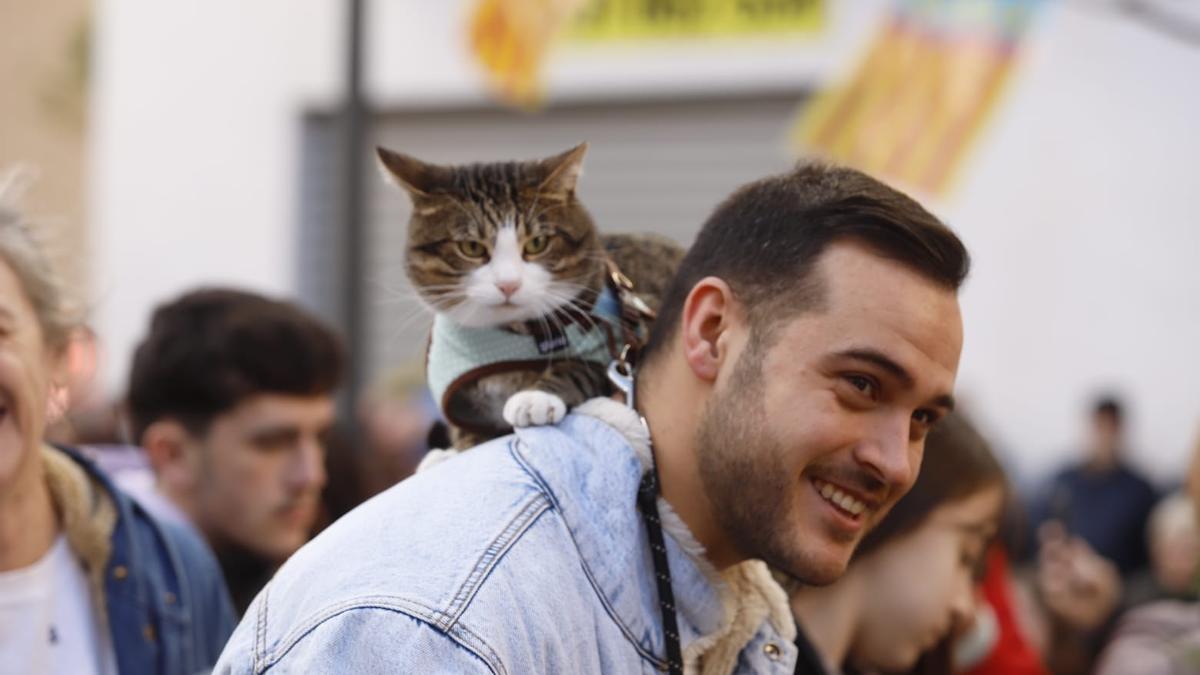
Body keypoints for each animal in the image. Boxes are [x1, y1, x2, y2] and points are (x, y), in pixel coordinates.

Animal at [379, 141, 681, 446]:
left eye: (537, 243)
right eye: (471, 247)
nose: (508, 284)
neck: (504, 339)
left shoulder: (622, 338)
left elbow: (586, 367)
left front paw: (536, 397)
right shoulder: (463, 404)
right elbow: (469, 438)